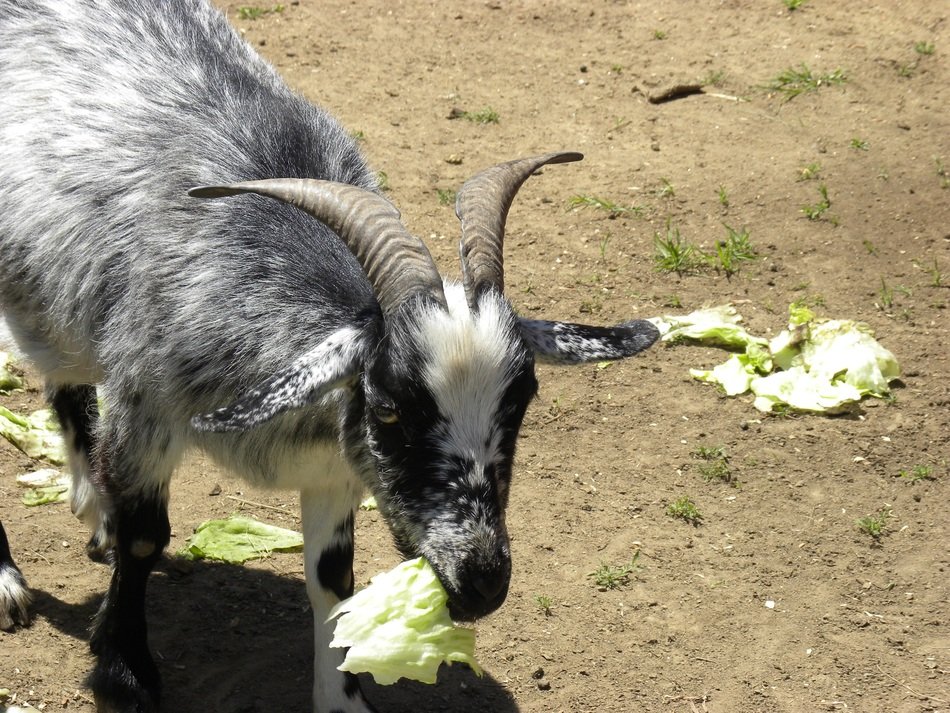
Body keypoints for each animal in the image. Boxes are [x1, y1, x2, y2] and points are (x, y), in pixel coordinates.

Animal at [0, 1, 660, 712]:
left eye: (522, 400)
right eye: (390, 408)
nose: (483, 583)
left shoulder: (335, 467)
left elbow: (331, 577)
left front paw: (342, 695)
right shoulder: (145, 409)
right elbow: (145, 536)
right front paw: (122, 673)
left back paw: (91, 506)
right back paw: (11, 583)